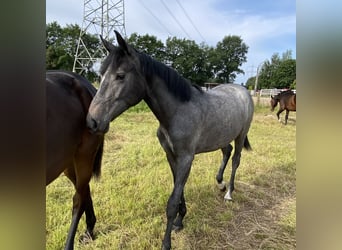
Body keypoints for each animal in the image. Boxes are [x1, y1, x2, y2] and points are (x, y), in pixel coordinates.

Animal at [85, 31, 254, 250]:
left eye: (120, 75)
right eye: (100, 75)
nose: (92, 121)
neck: (177, 111)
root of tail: (242, 90)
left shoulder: (186, 159)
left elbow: (172, 201)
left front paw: (166, 242)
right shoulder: (171, 156)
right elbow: (178, 190)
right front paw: (180, 221)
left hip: (241, 135)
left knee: (236, 160)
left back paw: (229, 193)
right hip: (221, 136)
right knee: (227, 151)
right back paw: (220, 184)